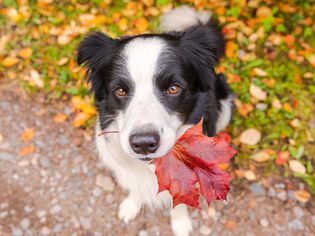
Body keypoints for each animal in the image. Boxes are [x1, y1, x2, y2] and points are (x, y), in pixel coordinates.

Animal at [77, 5, 235, 236]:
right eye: (120, 90)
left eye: (173, 88)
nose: (143, 144)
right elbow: (135, 186)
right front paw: (131, 206)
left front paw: (180, 223)